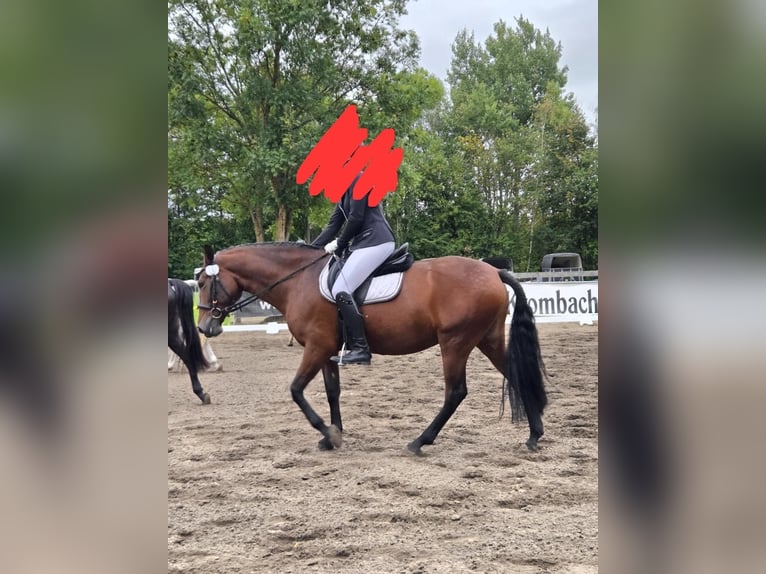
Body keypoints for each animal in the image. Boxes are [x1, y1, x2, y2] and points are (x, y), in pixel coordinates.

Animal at [196, 243, 547, 454]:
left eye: (201, 283)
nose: (204, 328)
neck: (299, 281)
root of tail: (494, 271)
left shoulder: (316, 347)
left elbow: (296, 390)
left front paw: (329, 434)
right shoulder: (326, 351)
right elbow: (332, 392)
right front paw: (333, 434)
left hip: (455, 342)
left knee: (456, 392)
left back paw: (420, 441)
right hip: (486, 339)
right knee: (516, 375)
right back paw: (534, 435)